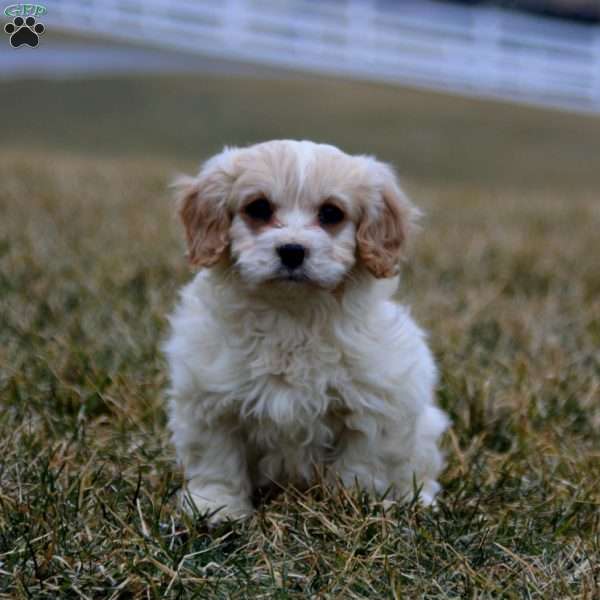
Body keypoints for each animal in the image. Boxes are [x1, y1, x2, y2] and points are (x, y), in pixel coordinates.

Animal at [162, 138, 448, 524]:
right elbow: (216, 460)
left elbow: (361, 465)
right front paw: (216, 506)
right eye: (259, 208)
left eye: (331, 213)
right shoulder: (209, 398)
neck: (292, 315)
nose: (293, 250)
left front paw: (351, 508)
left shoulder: (376, 404)